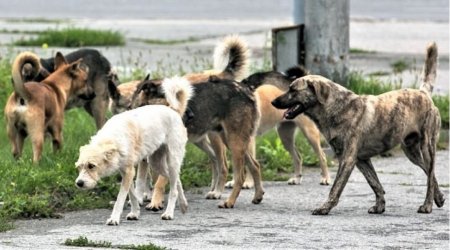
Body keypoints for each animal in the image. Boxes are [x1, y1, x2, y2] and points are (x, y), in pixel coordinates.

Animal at [74, 76, 193, 225]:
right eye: (79, 167)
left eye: (91, 166)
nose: (79, 183)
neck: (112, 139)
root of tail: (173, 110)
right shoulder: (126, 172)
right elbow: (133, 195)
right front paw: (135, 213)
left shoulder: (129, 172)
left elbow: (120, 198)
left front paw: (114, 218)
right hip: (156, 163)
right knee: (176, 181)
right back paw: (183, 205)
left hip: (171, 160)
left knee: (173, 189)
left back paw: (169, 213)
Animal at [272, 42, 444, 215]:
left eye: (293, 90)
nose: (273, 102)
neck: (336, 107)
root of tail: (423, 93)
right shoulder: (361, 160)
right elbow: (375, 183)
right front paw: (380, 206)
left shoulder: (347, 159)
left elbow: (336, 187)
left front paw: (325, 207)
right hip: (411, 152)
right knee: (430, 173)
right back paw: (439, 197)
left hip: (427, 147)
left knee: (430, 175)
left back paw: (427, 205)